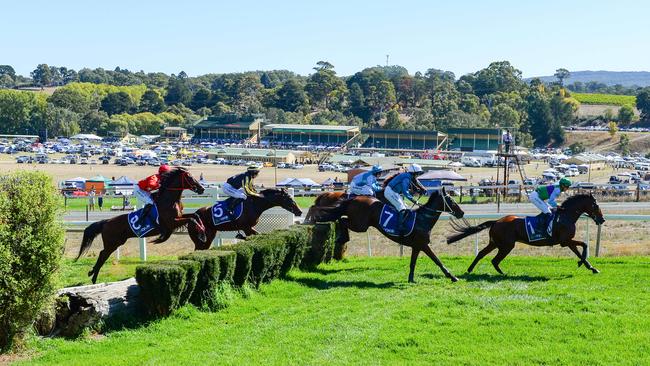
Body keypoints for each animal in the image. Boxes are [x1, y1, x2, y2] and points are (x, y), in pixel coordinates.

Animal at [76, 167, 204, 284]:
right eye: (189, 177)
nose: (201, 189)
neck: (169, 200)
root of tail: (106, 222)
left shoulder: (179, 217)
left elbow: (195, 215)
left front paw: (202, 232)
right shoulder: (171, 222)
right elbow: (192, 219)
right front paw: (202, 236)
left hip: (116, 243)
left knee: (102, 255)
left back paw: (92, 273)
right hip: (111, 243)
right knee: (103, 254)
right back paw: (93, 276)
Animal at [306, 189, 464, 284]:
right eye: (451, 200)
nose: (461, 212)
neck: (422, 220)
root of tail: (354, 198)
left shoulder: (417, 246)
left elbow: (413, 263)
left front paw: (411, 279)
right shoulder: (423, 245)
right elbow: (437, 260)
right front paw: (452, 276)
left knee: (339, 217)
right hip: (360, 224)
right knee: (342, 220)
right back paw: (342, 237)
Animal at [446, 194, 604, 274]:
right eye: (596, 205)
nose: (602, 219)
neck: (566, 216)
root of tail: (497, 221)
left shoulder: (568, 240)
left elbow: (579, 250)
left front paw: (590, 267)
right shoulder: (565, 241)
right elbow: (584, 245)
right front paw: (583, 263)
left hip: (495, 243)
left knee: (481, 254)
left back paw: (470, 270)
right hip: (506, 245)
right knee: (494, 260)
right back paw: (503, 274)